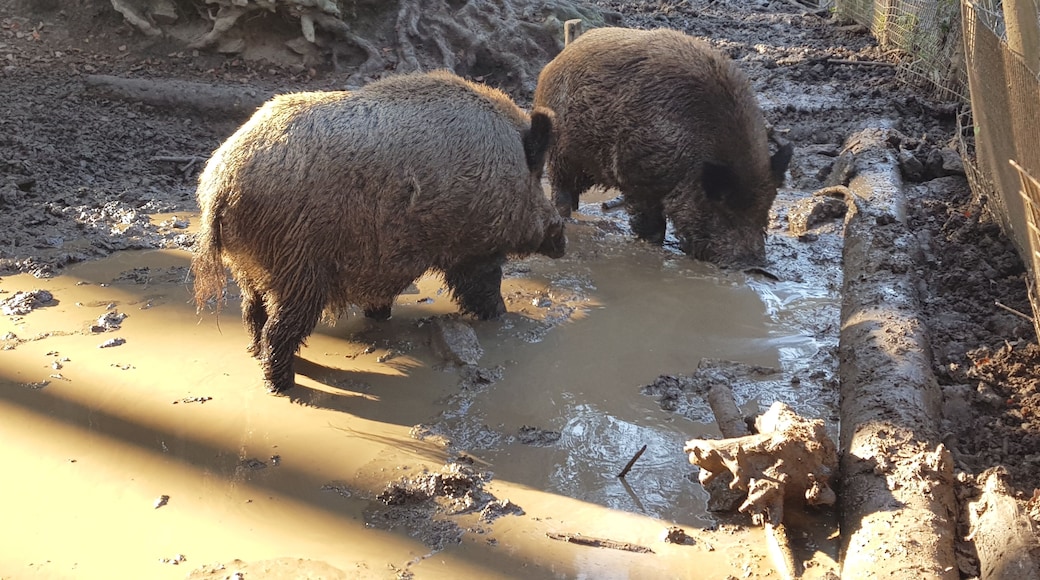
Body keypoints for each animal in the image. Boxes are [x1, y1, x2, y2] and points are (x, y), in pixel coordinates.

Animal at [191, 70, 565, 393]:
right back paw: (283, 385)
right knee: (279, 328)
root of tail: (220, 183)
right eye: (538, 180)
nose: (561, 239)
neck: (505, 167)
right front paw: (501, 317)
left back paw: (256, 354)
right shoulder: (473, 249)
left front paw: (380, 316)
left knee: (252, 312)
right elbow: (484, 288)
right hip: (298, 267)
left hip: (248, 264)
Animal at [533, 27, 793, 267]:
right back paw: (567, 216)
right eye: (725, 211)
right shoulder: (637, 175)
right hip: (561, 153)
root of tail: (553, 64)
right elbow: (651, 223)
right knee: (562, 189)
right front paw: (653, 243)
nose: (753, 266)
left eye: (765, 209)